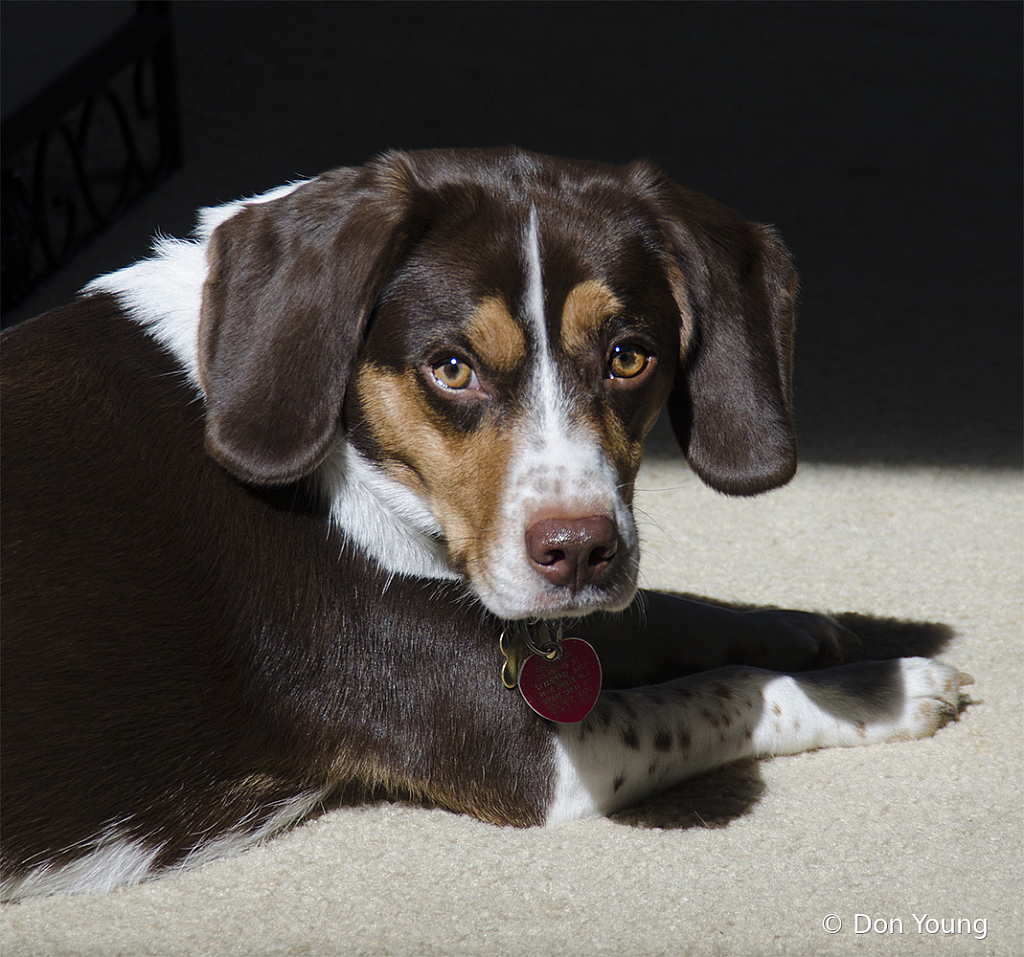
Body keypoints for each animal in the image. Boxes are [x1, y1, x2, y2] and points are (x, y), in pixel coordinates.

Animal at [0, 147, 970, 896]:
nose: (579, 550)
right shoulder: (533, 761)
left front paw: (803, 630)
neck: (353, 460)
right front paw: (883, 688)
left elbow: (671, 615)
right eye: (451, 367)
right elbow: (730, 690)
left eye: (629, 356)